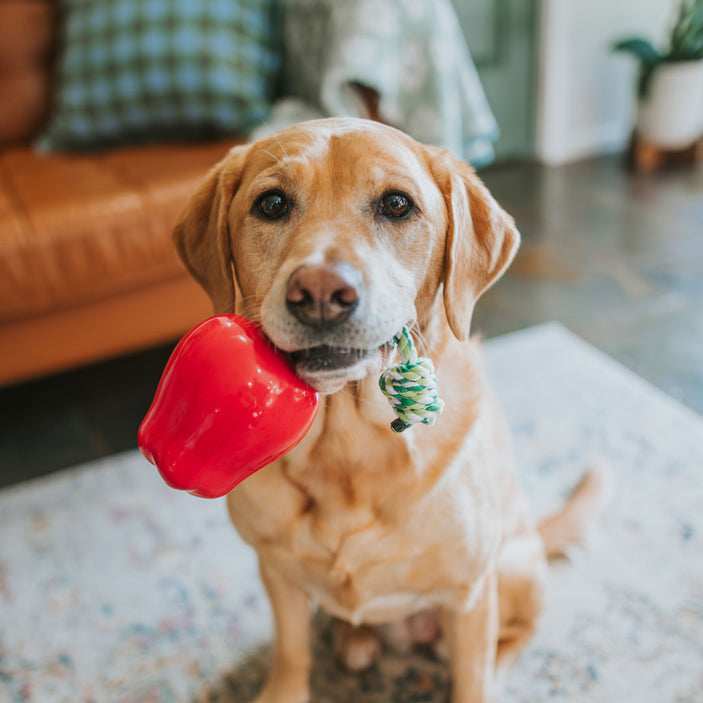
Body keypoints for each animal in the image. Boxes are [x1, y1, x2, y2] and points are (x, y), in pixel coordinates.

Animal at [173, 118, 608, 700]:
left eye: (397, 204)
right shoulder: (276, 571)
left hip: (513, 569)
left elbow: (472, 678)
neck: (347, 443)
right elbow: (292, 653)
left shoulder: (470, 595)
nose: (320, 292)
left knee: (515, 637)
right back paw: (355, 641)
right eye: (271, 204)